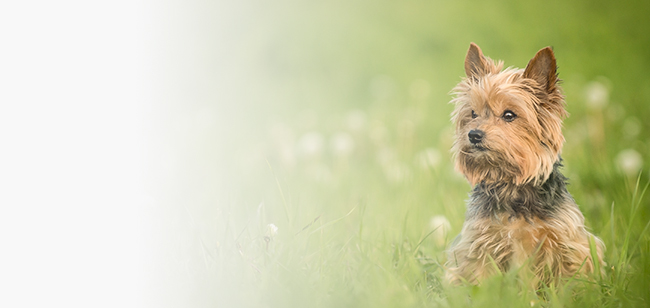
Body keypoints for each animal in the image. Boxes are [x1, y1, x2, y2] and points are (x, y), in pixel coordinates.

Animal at [442, 42, 604, 286]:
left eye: (509, 115)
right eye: (473, 114)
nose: (473, 134)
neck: (510, 184)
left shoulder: (569, 245)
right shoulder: (480, 244)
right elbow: (480, 280)